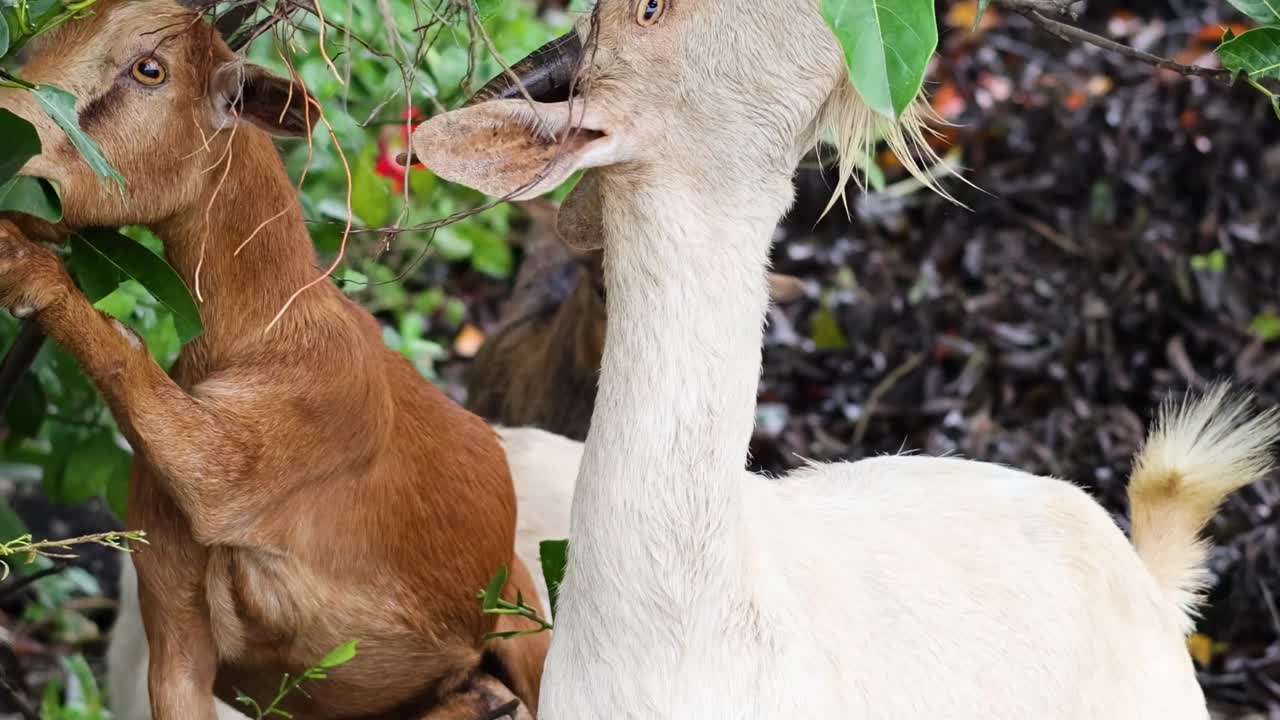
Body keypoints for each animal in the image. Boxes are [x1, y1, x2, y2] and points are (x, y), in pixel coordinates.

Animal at [0, 2, 556, 717]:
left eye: (150, 68)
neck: (266, 328)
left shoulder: (275, 446)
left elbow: (134, 364)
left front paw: (22, 268)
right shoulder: (174, 619)